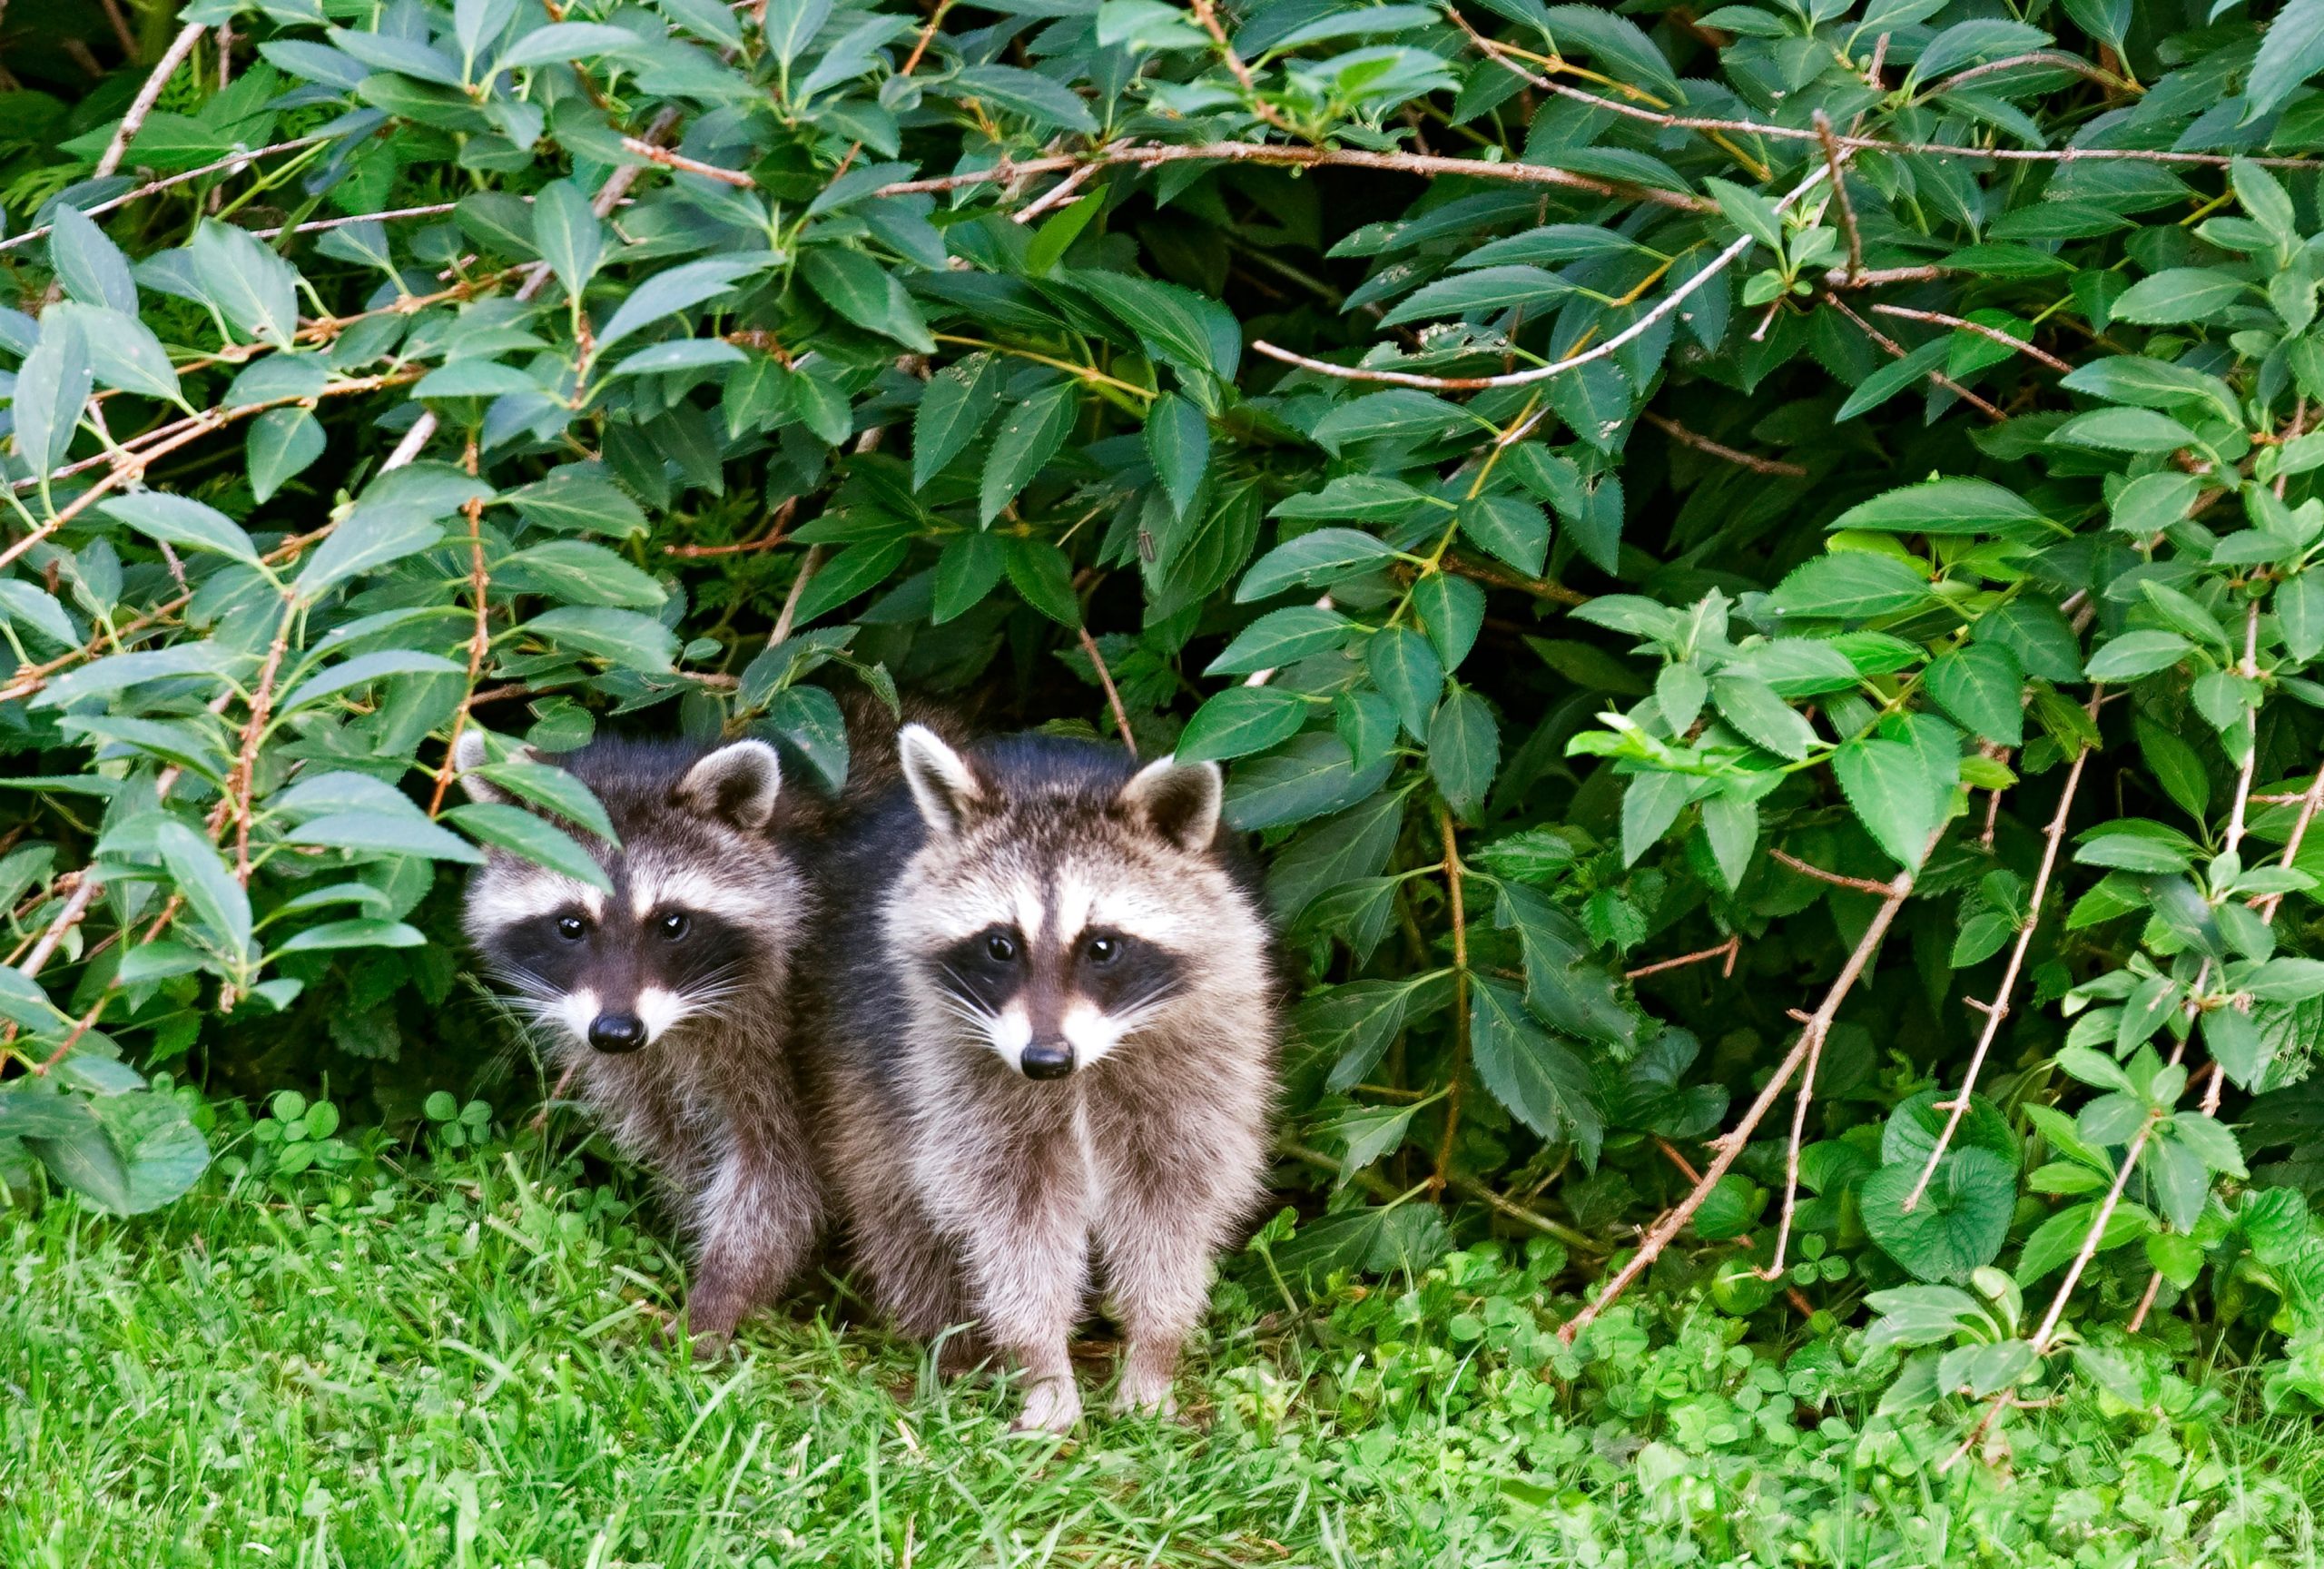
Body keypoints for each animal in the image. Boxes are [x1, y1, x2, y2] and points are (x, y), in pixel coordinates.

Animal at [454, 727, 824, 1343]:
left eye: (672, 923)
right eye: (571, 925)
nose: (617, 1032)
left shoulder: (785, 1042)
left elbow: (777, 1178)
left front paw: (720, 1297)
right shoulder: (631, 1064)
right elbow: (682, 1151)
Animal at [802, 726, 1279, 1432]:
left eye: (1103, 947)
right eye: (999, 945)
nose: (1044, 1061)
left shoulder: (1207, 1054)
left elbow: (1172, 1208)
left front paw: (1154, 1355)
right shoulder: (949, 1065)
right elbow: (1012, 1224)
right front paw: (1043, 1369)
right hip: (858, 1047)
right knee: (890, 1195)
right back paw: (950, 1342)